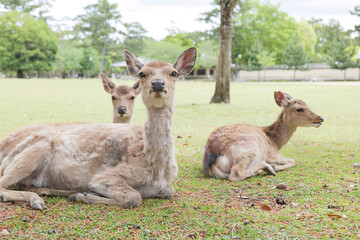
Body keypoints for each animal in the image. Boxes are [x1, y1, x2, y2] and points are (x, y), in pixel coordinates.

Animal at [0, 46, 197, 208]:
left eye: (173, 72)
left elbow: (170, 191)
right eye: (142, 73)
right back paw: (39, 200)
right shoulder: (106, 176)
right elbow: (134, 197)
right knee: (3, 185)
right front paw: (84, 196)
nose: (157, 84)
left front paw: (82, 194)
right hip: (35, 150)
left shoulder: (164, 184)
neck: (157, 168)